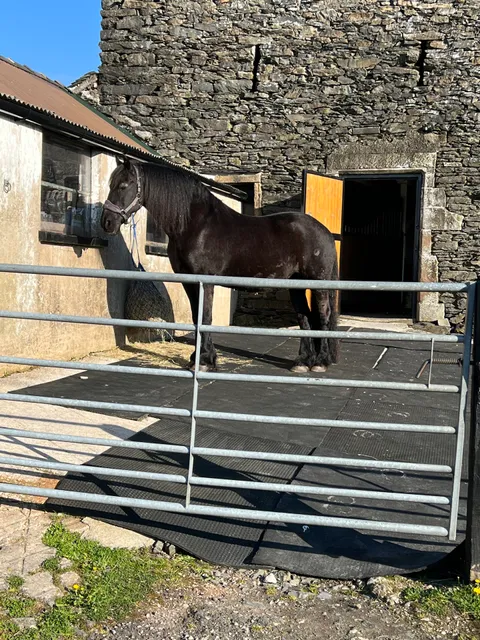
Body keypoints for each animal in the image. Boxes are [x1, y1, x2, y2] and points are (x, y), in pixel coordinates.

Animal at [101, 158, 339, 373]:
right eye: (111, 184)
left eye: (124, 185)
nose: (107, 222)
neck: (196, 224)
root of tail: (325, 232)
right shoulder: (189, 281)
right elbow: (197, 318)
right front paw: (197, 359)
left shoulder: (205, 281)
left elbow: (205, 317)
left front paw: (205, 362)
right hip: (295, 285)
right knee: (304, 317)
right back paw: (301, 362)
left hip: (318, 283)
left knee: (324, 316)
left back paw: (320, 362)